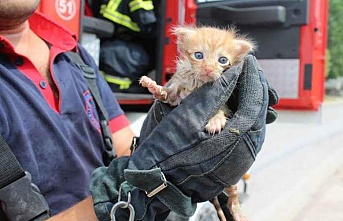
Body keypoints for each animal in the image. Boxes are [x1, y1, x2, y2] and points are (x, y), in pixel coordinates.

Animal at [140, 25, 255, 220]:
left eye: (222, 60)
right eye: (199, 55)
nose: (208, 69)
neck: (198, 83)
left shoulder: (224, 103)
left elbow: (220, 110)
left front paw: (216, 121)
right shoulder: (176, 94)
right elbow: (167, 95)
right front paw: (154, 87)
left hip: (230, 183)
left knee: (232, 196)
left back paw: (237, 212)